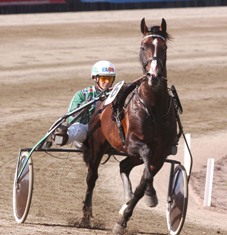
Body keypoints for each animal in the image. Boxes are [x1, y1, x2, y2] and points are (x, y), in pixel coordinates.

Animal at [82, 17, 179, 233]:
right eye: (143, 47)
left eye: (164, 47)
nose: (154, 76)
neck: (153, 107)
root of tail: (101, 103)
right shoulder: (135, 143)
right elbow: (147, 169)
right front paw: (151, 195)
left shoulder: (161, 154)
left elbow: (143, 182)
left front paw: (123, 218)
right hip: (97, 145)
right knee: (91, 178)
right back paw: (85, 217)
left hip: (129, 155)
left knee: (124, 166)